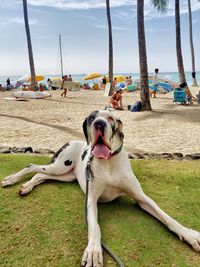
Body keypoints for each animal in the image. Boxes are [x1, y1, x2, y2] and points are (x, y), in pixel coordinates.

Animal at [1, 110, 200, 266]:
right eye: (91, 118)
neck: (109, 162)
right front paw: (93, 251)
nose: (99, 124)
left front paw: (189, 234)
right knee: (32, 166)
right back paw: (12, 179)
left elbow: (167, 217)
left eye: (111, 118)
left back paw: (27, 186)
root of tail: (72, 141)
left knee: (40, 175)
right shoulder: (91, 200)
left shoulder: (141, 198)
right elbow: (94, 227)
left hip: (67, 175)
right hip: (60, 166)